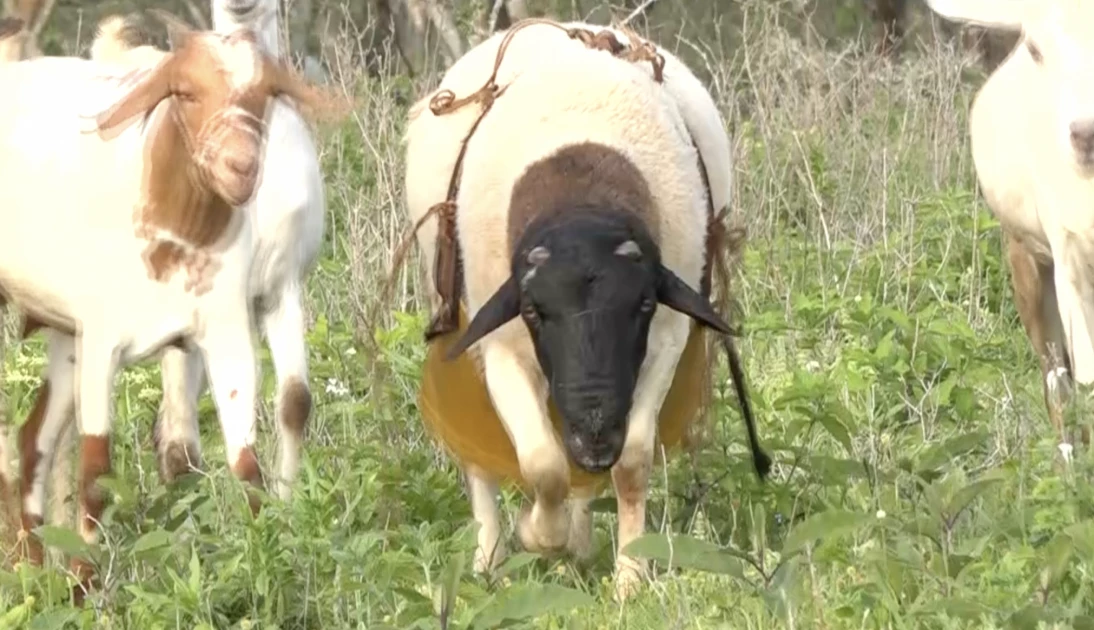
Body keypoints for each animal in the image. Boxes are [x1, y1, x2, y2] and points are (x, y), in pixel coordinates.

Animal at [404, 20, 770, 599]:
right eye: (533, 311)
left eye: (643, 303)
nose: (597, 431)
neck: (581, 192)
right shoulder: (503, 346)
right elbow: (542, 463)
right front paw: (536, 535)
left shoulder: (664, 341)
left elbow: (632, 463)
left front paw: (629, 579)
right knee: (483, 457)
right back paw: (489, 561)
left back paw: (576, 543)